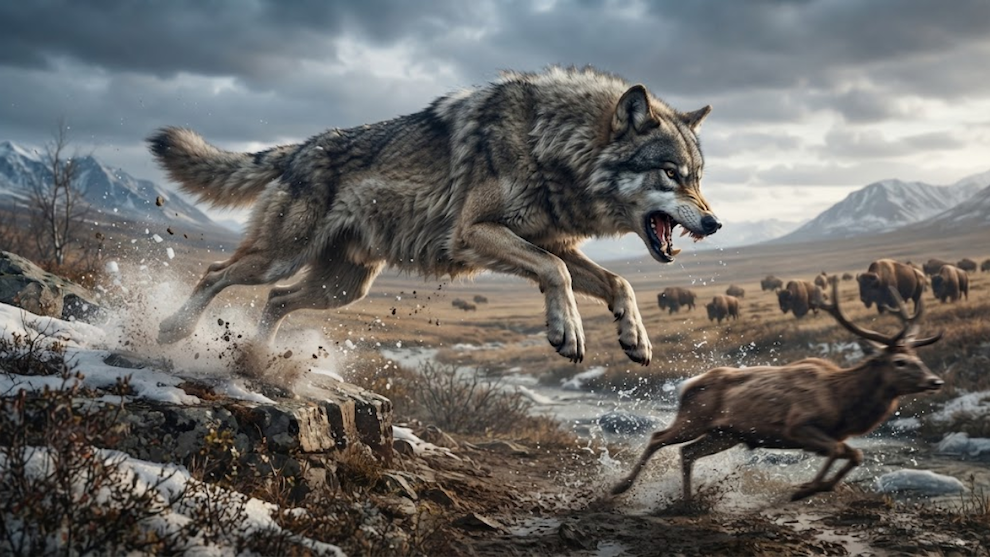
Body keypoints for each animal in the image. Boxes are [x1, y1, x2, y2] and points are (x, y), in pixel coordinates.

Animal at [149, 66, 721, 365]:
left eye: (698, 176)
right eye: (671, 173)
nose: (714, 224)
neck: (550, 143)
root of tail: (300, 148)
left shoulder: (550, 241)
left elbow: (618, 282)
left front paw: (634, 337)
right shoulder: (476, 234)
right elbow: (557, 274)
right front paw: (568, 333)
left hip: (342, 288)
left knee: (276, 300)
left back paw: (257, 358)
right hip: (280, 257)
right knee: (216, 272)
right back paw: (174, 330)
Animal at [610, 280, 943, 502]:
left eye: (918, 357)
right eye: (899, 361)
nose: (936, 381)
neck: (842, 404)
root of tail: (686, 387)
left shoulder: (830, 434)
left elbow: (855, 454)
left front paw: (817, 487)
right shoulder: (798, 425)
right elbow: (839, 451)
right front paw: (806, 489)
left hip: (725, 433)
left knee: (687, 452)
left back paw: (688, 502)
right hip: (695, 417)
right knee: (659, 438)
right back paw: (620, 487)